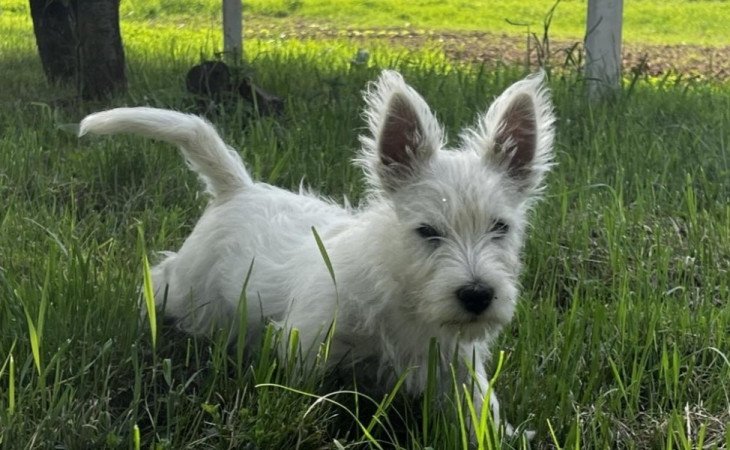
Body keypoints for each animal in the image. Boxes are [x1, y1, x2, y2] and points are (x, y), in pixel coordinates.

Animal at [78, 69, 552, 436]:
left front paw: (506, 435)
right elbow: (304, 395)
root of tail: (239, 187)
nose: (477, 295)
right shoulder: (307, 341)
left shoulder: (458, 366)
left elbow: (482, 409)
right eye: (427, 232)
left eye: (500, 228)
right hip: (189, 287)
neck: (405, 298)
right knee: (161, 277)